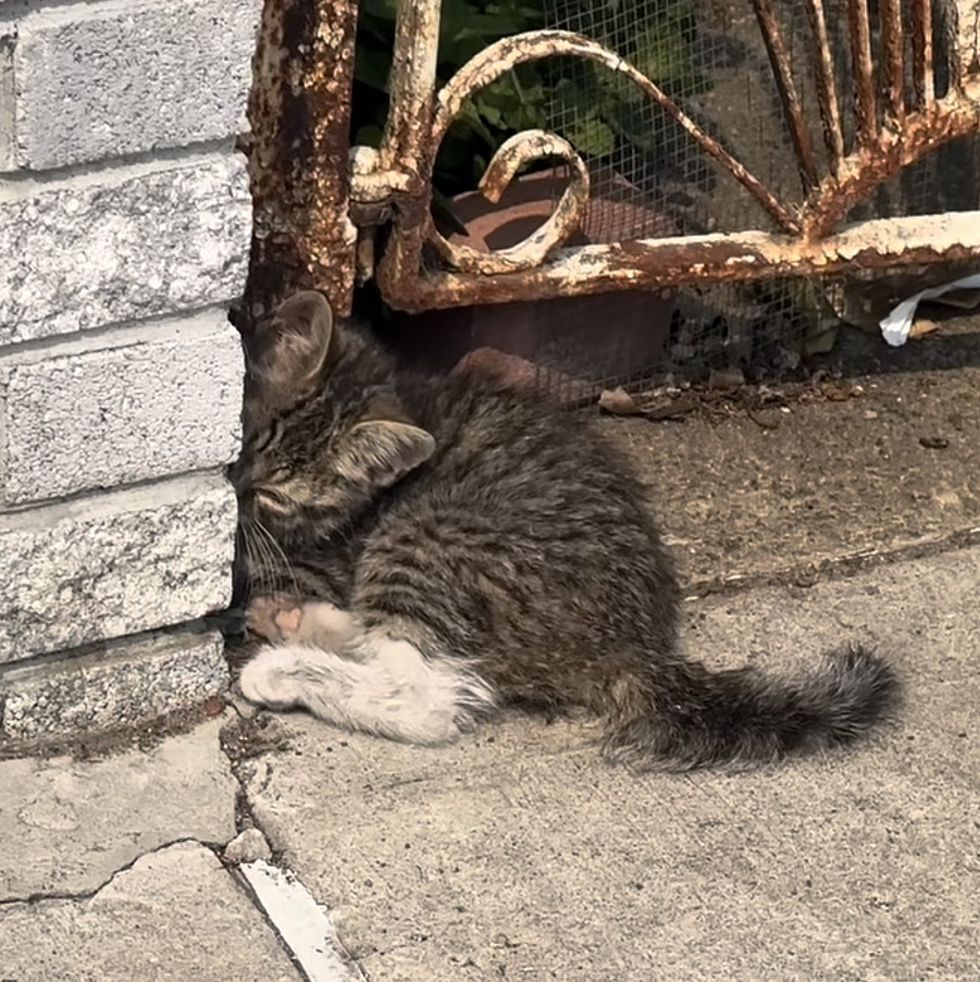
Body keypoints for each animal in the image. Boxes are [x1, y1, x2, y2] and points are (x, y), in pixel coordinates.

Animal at [228, 292, 896, 776]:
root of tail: (630, 641)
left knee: (436, 693)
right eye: (244, 446)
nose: (236, 488)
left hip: (431, 537)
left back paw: (284, 664)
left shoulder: (315, 552)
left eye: (274, 493)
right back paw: (293, 620)